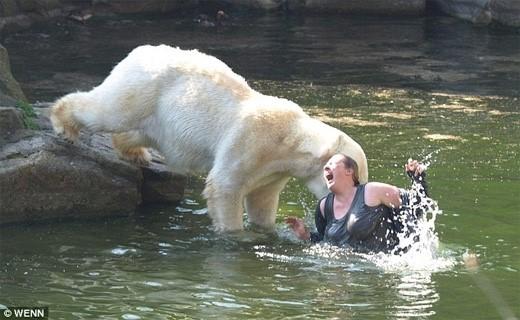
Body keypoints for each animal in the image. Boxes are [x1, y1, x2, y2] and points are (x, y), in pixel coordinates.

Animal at [50, 44, 368, 230]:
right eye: (356, 178)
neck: (289, 139)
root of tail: (139, 51)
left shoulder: (273, 171)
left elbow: (262, 199)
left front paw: (266, 230)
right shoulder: (251, 141)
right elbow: (225, 186)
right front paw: (234, 235)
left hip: (160, 115)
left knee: (140, 131)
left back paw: (135, 153)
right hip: (143, 87)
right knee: (108, 110)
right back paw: (64, 124)